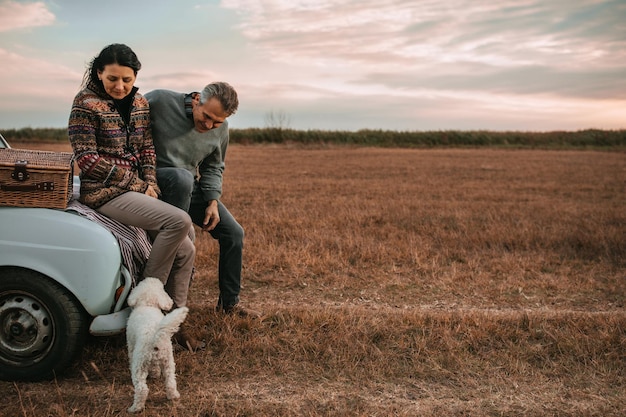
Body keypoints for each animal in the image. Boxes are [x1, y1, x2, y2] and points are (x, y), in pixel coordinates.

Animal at [124, 278, 188, 412]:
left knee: (142, 389)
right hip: (168, 361)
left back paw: (135, 408)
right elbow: (155, 368)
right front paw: (155, 374)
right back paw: (173, 396)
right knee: (170, 381)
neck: (148, 304)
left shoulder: (131, 344)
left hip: (140, 365)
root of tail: (154, 337)